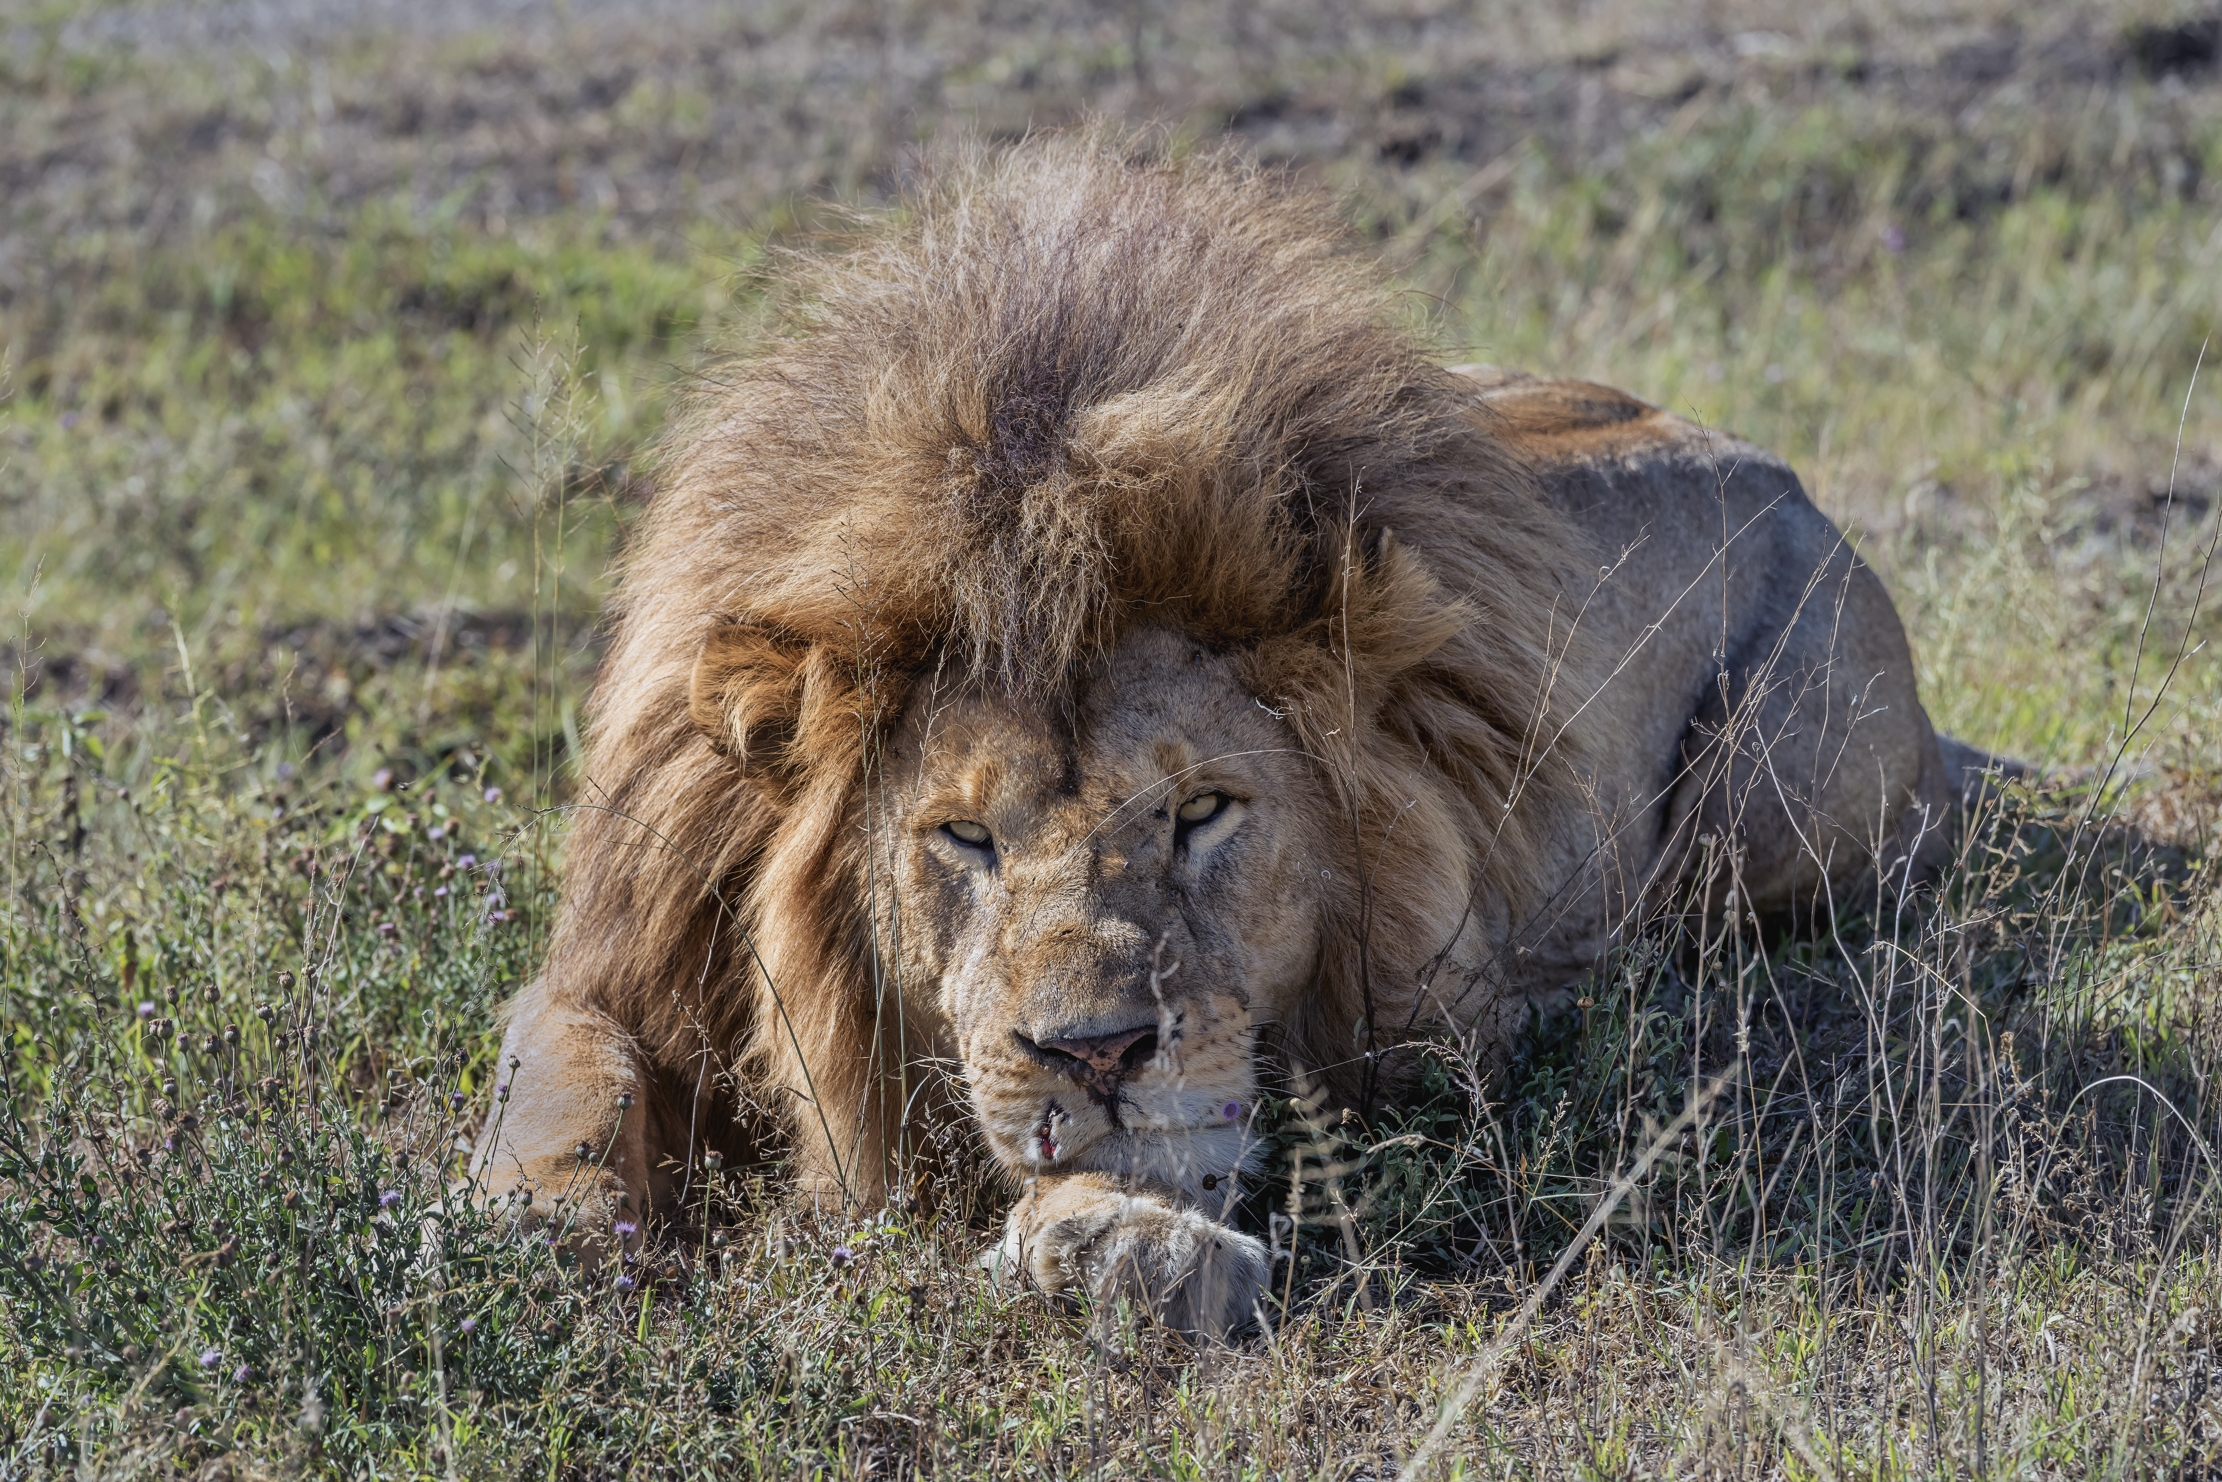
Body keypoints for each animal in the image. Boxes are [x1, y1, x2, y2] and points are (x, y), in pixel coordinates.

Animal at [471, 136, 1982, 1338]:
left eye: (1200, 812)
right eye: (961, 836)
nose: (1094, 1056)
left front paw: (1119, 1240)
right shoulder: (624, 964)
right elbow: (563, 1091)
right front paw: (533, 1252)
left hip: (1769, 805)